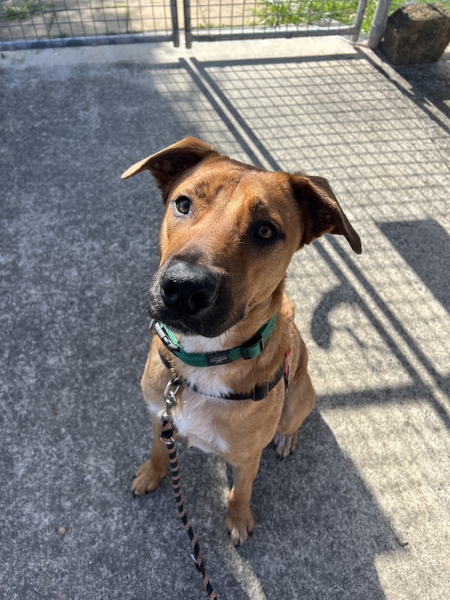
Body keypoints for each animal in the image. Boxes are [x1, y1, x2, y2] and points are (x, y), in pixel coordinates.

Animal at [121, 137, 361, 546]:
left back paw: (287, 439)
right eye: (183, 203)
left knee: (291, 423)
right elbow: (158, 451)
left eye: (265, 231)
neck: (203, 361)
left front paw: (238, 518)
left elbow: (240, 491)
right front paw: (151, 473)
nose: (184, 288)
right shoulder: (159, 416)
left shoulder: (248, 458)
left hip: (298, 402)